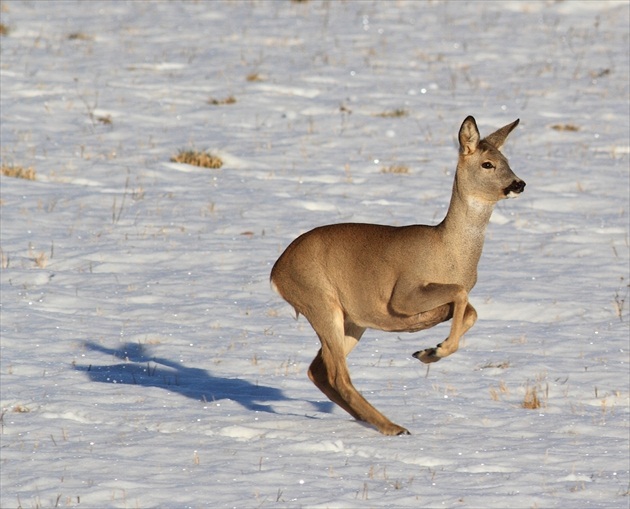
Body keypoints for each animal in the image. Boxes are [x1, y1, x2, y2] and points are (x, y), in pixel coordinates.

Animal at [272, 117, 528, 434]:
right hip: (319, 300)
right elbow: (459, 294)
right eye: (488, 164)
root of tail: (276, 271)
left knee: (317, 370)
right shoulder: (403, 294)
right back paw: (394, 427)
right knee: (336, 374)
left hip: (353, 320)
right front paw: (436, 349)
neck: (449, 252)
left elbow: (471, 311)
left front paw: (429, 350)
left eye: (507, 160)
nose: (519, 183)